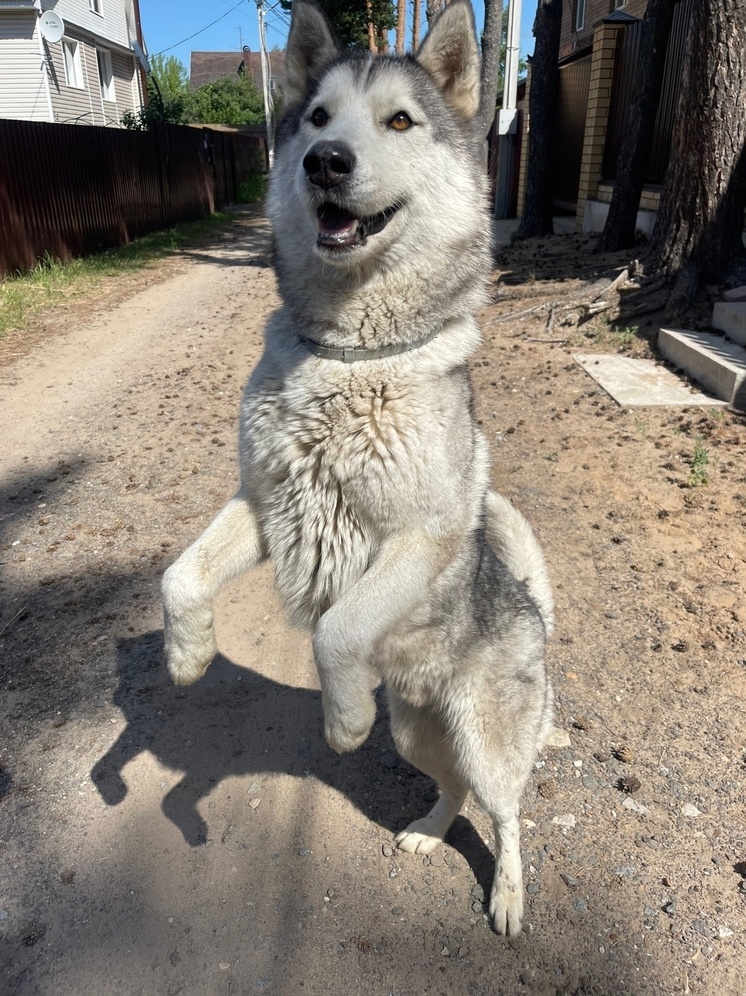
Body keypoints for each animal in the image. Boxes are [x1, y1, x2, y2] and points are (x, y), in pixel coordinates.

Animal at [160, 0, 548, 932]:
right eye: (317, 118)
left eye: (399, 121)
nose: (325, 161)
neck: (347, 360)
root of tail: (532, 608)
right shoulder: (264, 504)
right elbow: (178, 576)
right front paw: (187, 657)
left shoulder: (417, 540)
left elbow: (337, 628)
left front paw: (338, 722)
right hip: (414, 730)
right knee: (453, 792)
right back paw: (426, 834)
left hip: (485, 736)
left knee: (508, 813)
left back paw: (509, 894)